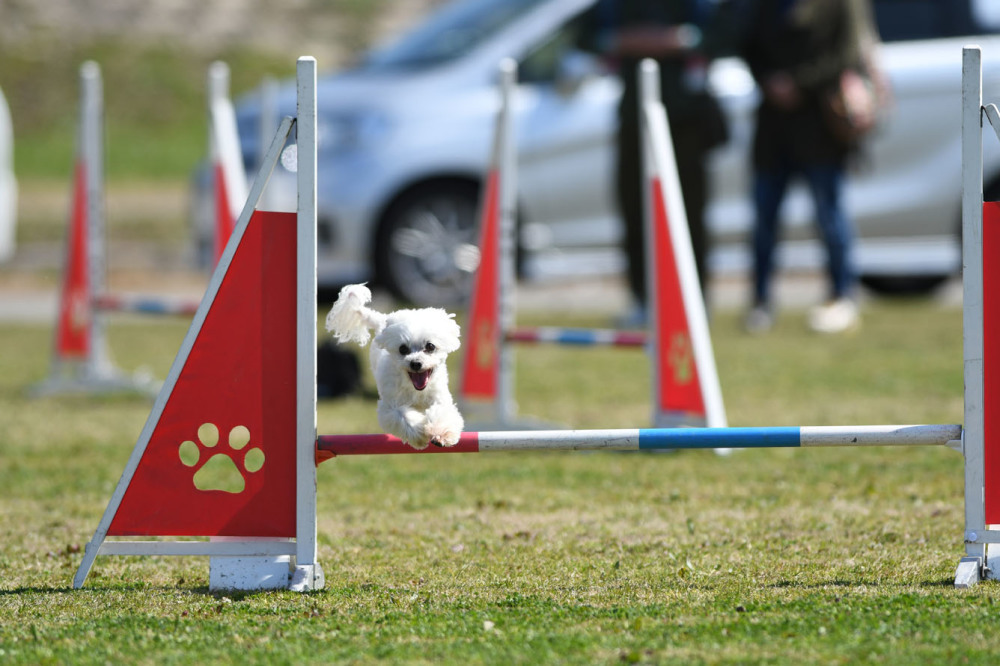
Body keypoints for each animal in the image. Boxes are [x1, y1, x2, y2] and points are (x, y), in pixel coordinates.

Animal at [326, 282, 466, 448]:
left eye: (430, 346)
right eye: (403, 349)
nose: (416, 363)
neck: (415, 390)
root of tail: (382, 320)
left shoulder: (440, 400)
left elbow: (442, 413)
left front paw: (440, 433)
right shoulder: (390, 407)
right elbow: (402, 416)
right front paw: (420, 434)